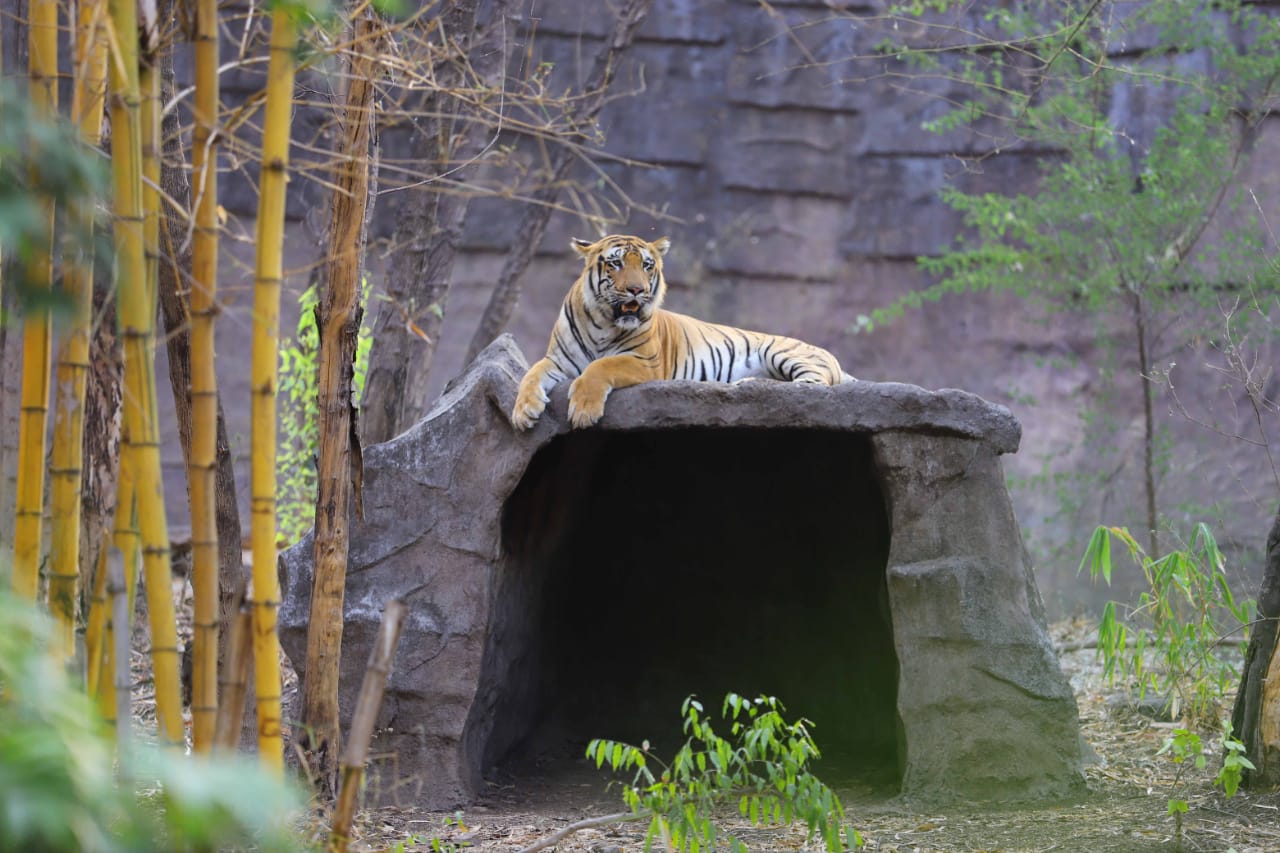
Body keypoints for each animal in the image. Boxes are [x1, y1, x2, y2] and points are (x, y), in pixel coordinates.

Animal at [512, 233, 860, 427]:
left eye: (647, 266)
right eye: (616, 263)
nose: (637, 290)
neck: (603, 322)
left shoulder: (646, 363)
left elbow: (601, 366)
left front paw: (583, 410)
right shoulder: (557, 360)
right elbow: (531, 374)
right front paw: (523, 412)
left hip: (783, 351)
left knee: (813, 387)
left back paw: (755, 386)